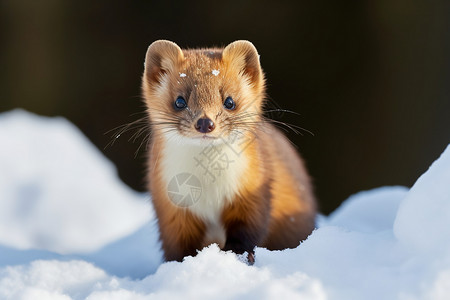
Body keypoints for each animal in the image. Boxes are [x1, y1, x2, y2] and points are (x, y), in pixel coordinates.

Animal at [142, 39, 316, 262]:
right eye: (180, 101)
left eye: (229, 101)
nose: (205, 122)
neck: (209, 188)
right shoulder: (172, 209)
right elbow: (177, 247)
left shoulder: (252, 193)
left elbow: (247, 232)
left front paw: (236, 254)